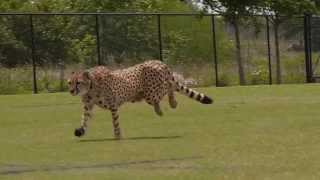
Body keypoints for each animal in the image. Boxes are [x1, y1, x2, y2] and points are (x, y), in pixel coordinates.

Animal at [67, 60, 212, 139]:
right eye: (69, 82)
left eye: (78, 82)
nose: (71, 91)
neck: (91, 87)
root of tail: (158, 61)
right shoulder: (88, 106)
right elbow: (84, 119)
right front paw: (80, 131)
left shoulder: (113, 105)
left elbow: (115, 122)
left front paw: (118, 136)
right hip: (148, 94)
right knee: (164, 93)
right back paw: (160, 110)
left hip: (151, 92)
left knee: (170, 86)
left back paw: (173, 103)